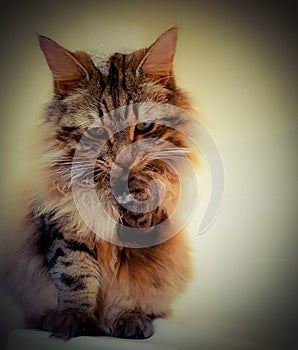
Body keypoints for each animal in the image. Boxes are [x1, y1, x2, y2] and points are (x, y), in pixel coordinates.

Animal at [0, 27, 196, 340]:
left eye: (143, 127)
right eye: (96, 131)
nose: (124, 161)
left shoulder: (140, 245)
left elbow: (127, 287)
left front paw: (127, 319)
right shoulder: (64, 228)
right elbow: (75, 277)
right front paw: (72, 322)